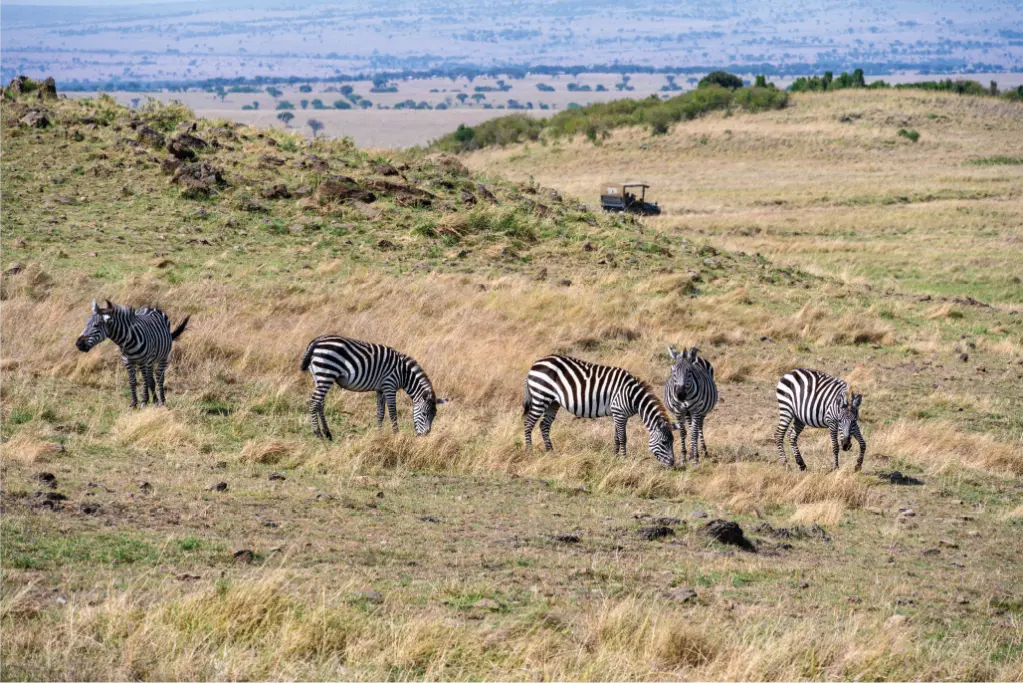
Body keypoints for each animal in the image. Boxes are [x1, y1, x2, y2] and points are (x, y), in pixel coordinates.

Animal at [301, 335, 448, 440]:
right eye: (424, 414)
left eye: (434, 416)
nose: (425, 436)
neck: (404, 374)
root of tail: (315, 342)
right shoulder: (389, 386)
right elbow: (393, 413)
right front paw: (396, 435)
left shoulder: (380, 389)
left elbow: (380, 413)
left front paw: (380, 434)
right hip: (326, 373)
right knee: (314, 402)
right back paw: (318, 434)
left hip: (320, 377)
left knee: (320, 403)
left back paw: (327, 433)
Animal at [523, 355, 675, 466]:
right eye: (664, 443)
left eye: (672, 442)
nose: (673, 464)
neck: (632, 396)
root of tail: (535, 364)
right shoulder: (620, 412)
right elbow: (623, 438)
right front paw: (624, 459)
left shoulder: (617, 414)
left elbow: (616, 437)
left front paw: (615, 457)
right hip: (541, 396)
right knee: (528, 423)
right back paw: (529, 452)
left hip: (553, 402)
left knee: (544, 425)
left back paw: (550, 452)